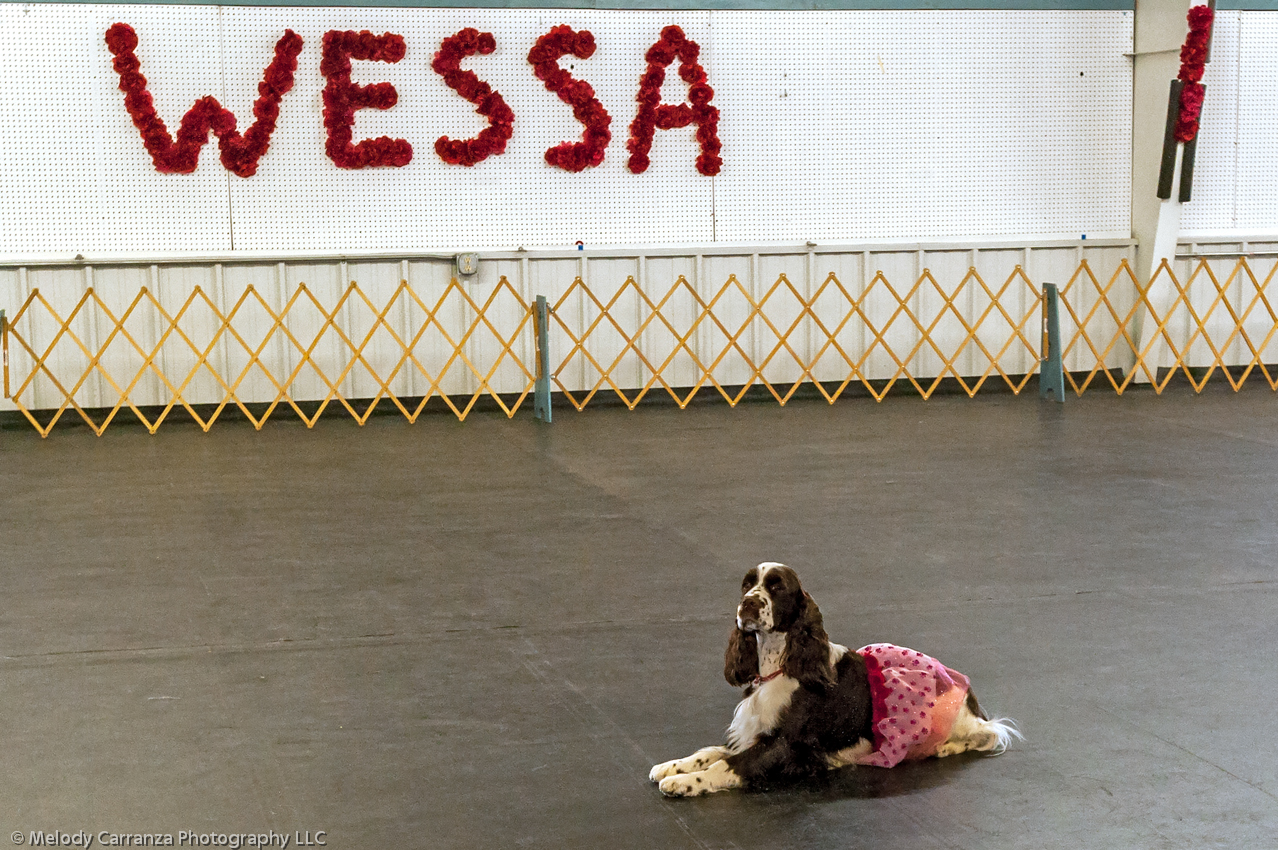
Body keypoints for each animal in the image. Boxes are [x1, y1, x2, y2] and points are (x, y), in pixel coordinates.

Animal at [649, 562, 1017, 797]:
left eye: (776, 587)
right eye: (746, 584)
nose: (748, 604)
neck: (780, 665)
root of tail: (969, 694)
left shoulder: (786, 745)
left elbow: (727, 765)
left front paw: (685, 783)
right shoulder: (756, 731)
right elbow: (711, 751)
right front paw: (672, 766)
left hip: (959, 720)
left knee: (990, 733)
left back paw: (946, 747)